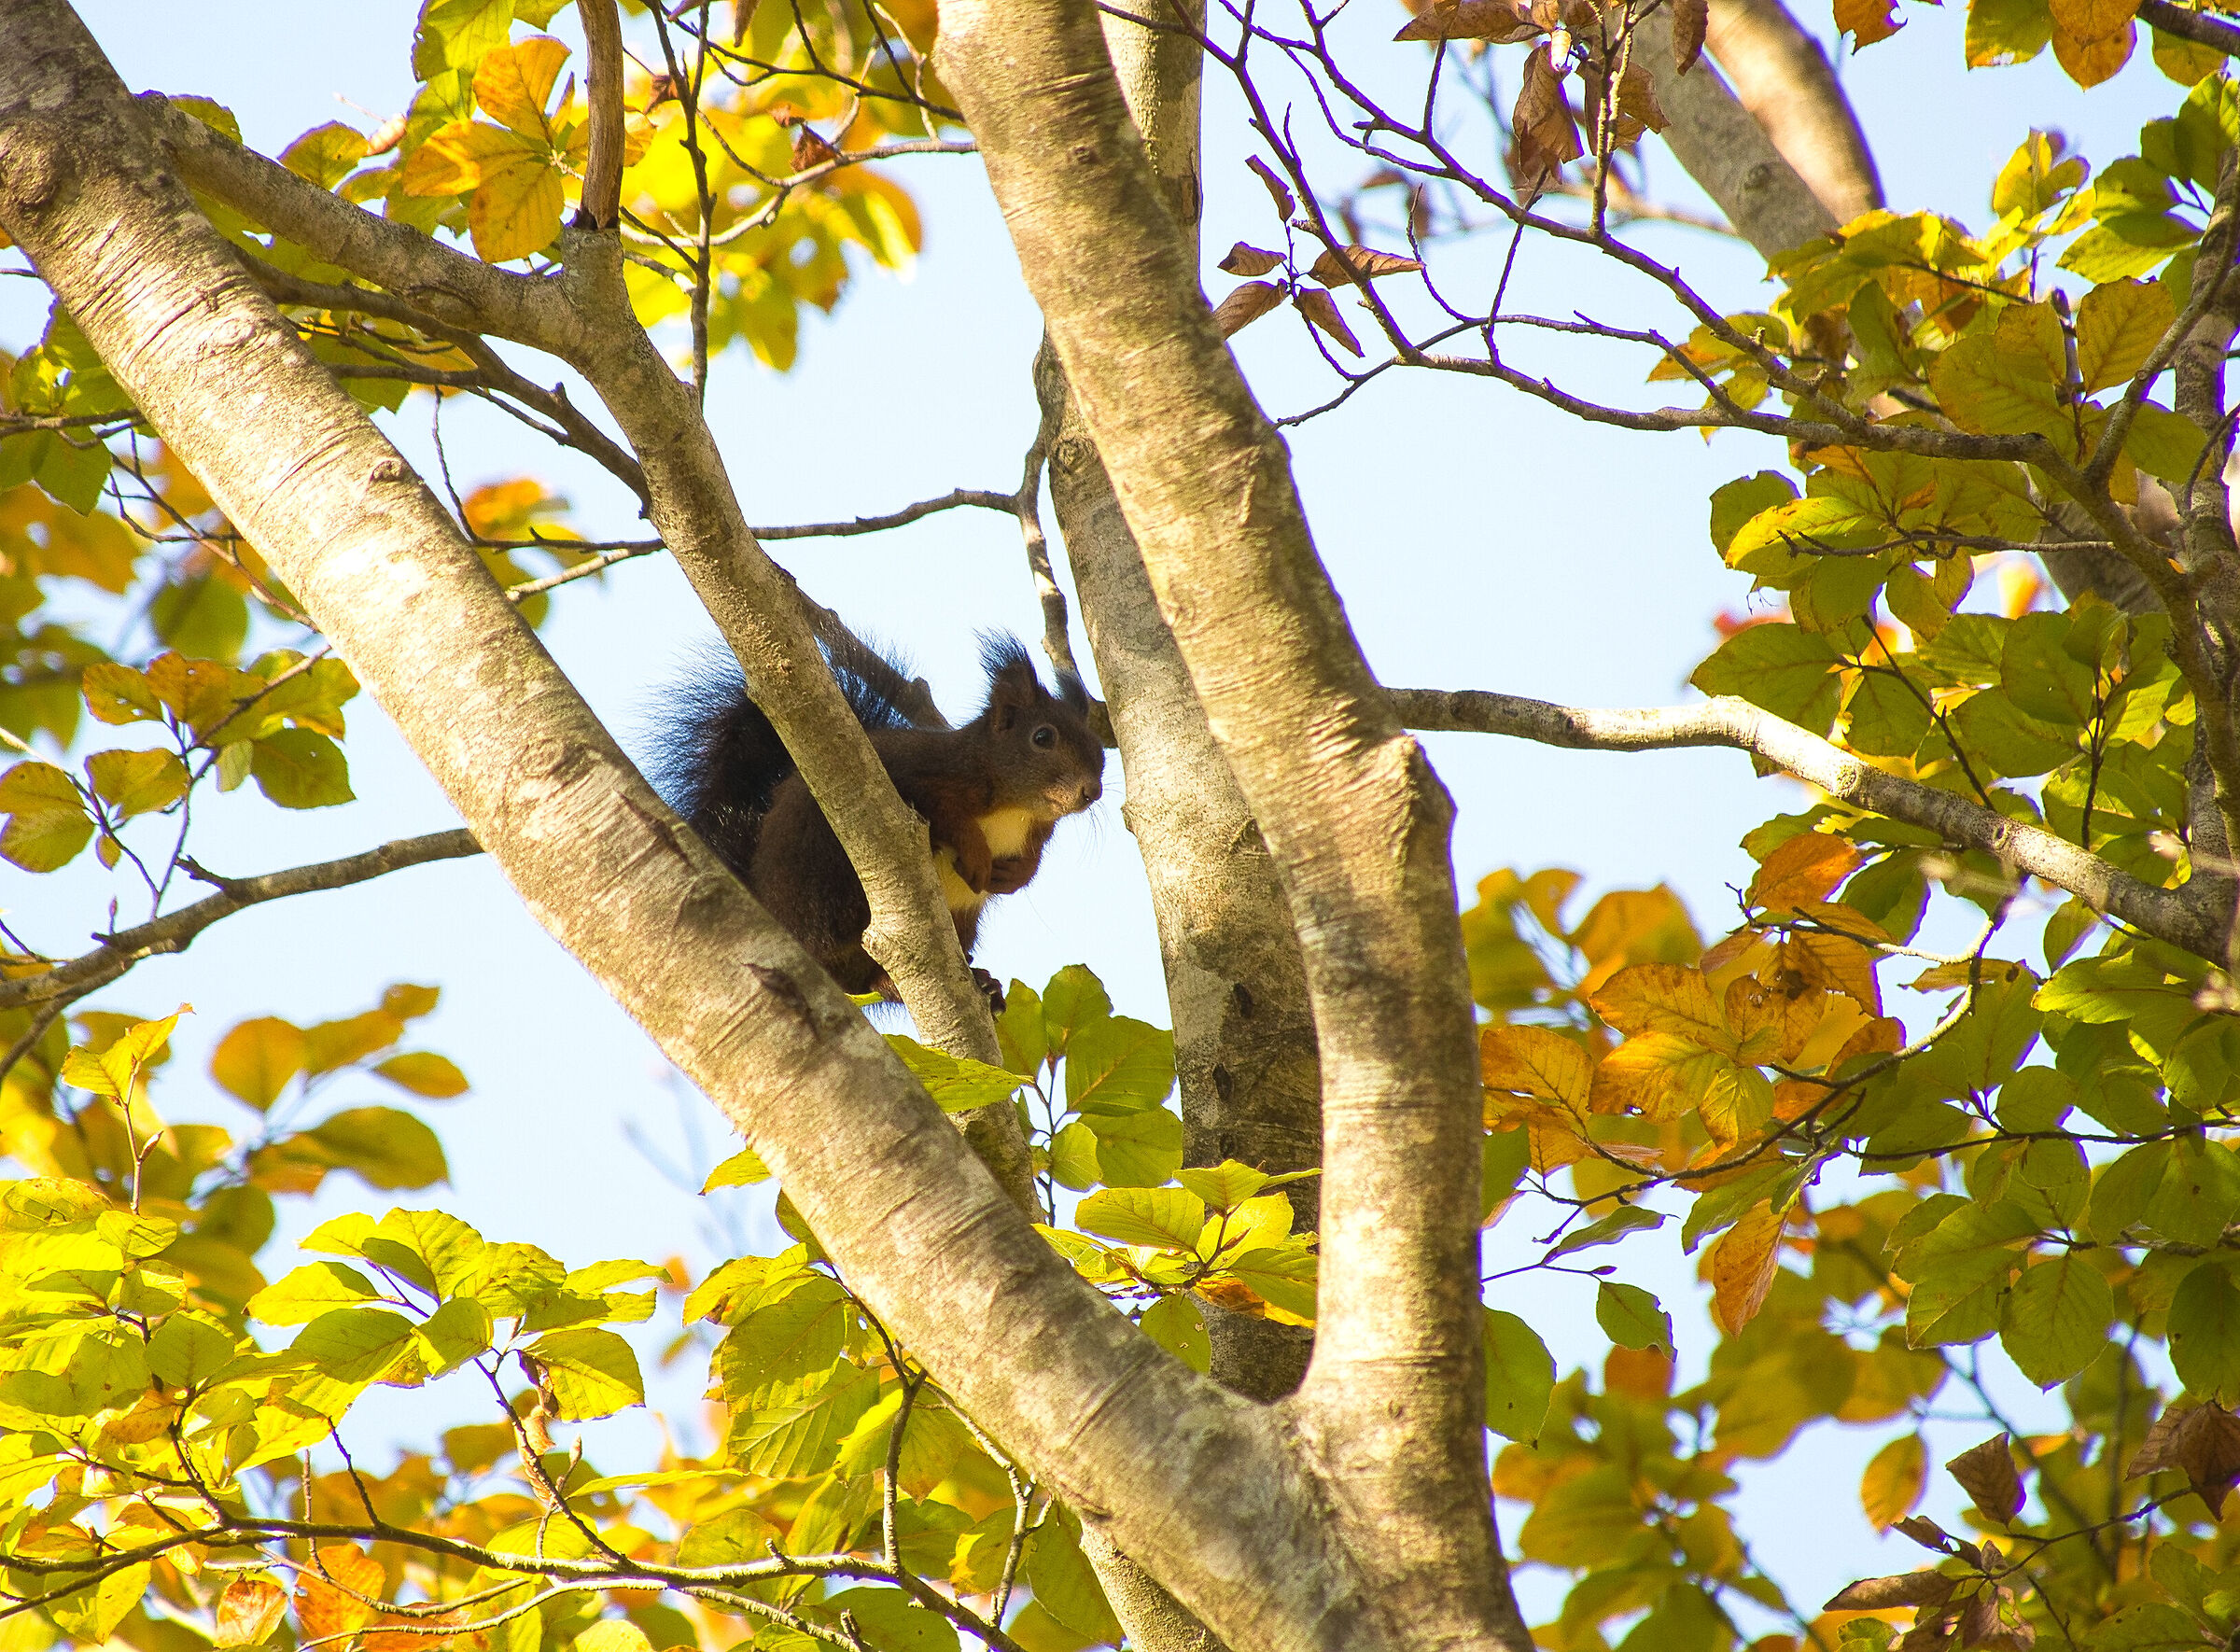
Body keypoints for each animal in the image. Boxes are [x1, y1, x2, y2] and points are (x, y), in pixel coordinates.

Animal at [653, 631, 1105, 1003]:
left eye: (1099, 746)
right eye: (1042, 737)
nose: (1092, 792)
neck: (1017, 807)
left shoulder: (1037, 832)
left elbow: (1032, 861)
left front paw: (1015, 877)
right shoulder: (916, 776)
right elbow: (945, 814)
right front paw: (977, 853)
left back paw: (980, 984)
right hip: (828, 892)